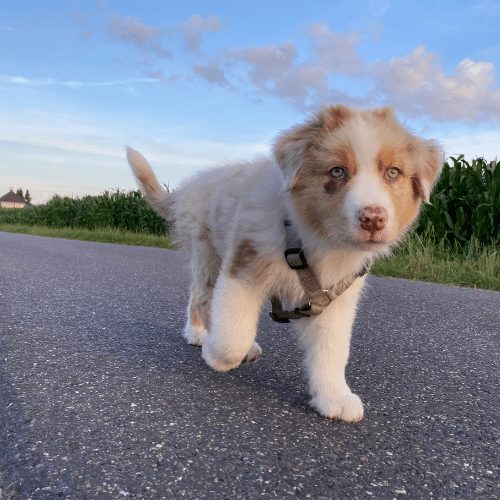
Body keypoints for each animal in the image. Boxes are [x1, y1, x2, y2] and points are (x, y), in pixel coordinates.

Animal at [128, 105, 442, 422]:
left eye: (393, 172)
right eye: (337, 171)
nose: (373, 218)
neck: (312, 237)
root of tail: (184, 190)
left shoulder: (332, 297)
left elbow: (332, 348)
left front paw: (334, 397)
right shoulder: (243, 263)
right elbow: (234, 336)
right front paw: (217, 355)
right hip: (205, 248)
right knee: (202, 297)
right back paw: (201, 335)